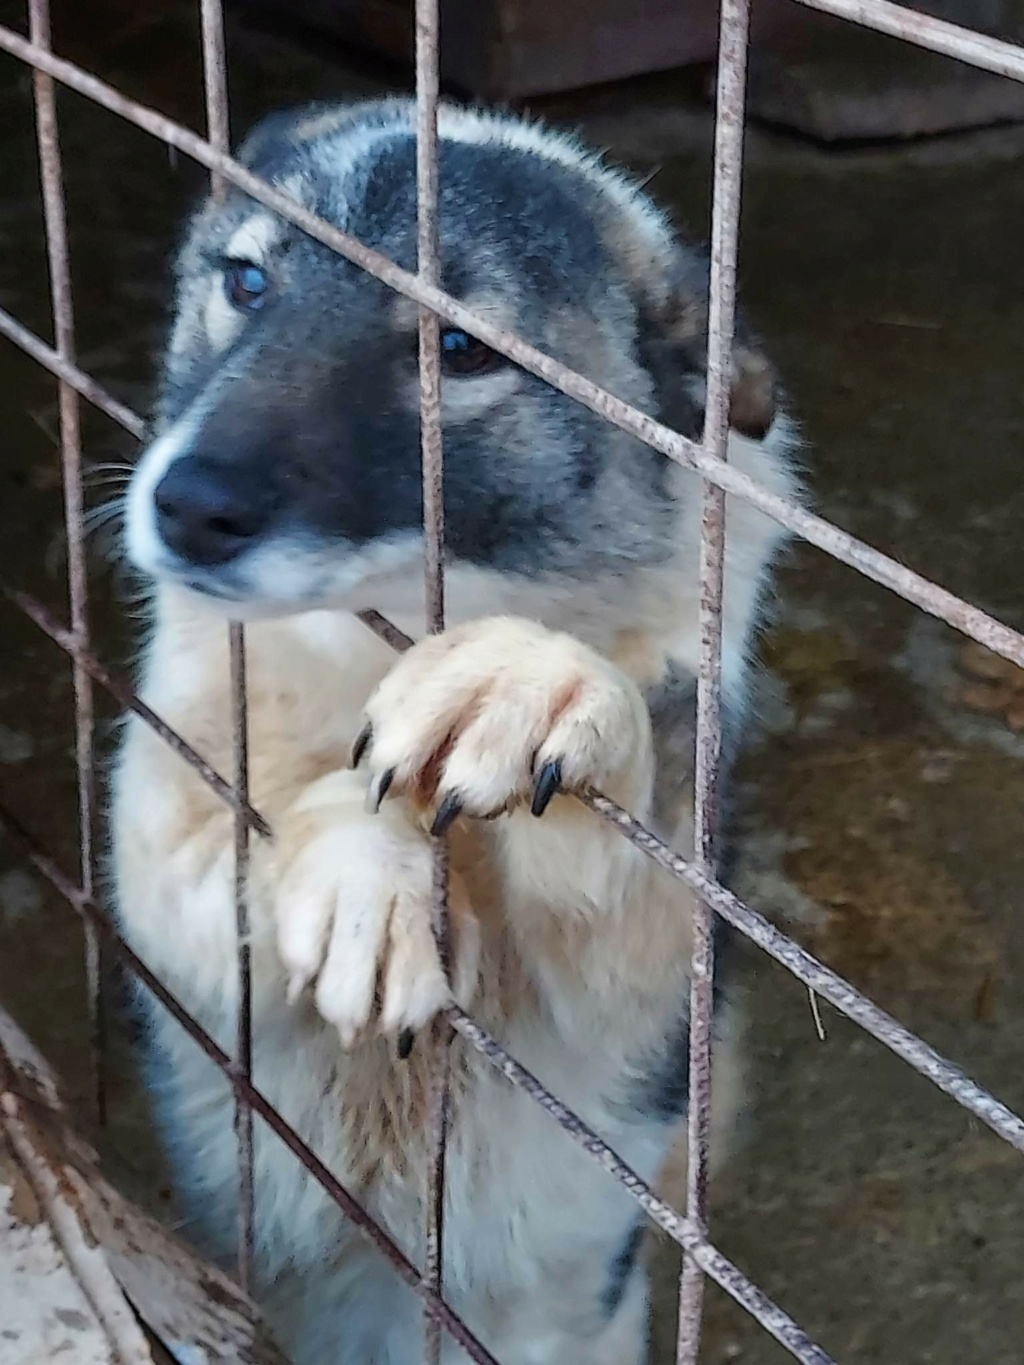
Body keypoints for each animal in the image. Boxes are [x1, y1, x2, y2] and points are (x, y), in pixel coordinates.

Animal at [111, 98, 802, 1365]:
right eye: (246, 280)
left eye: (458, 352)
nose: (187, 508)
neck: (377, 654)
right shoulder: (162, 842)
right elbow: (250, 835)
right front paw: (365, 876)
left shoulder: (634, 988)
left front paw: (533, 677)